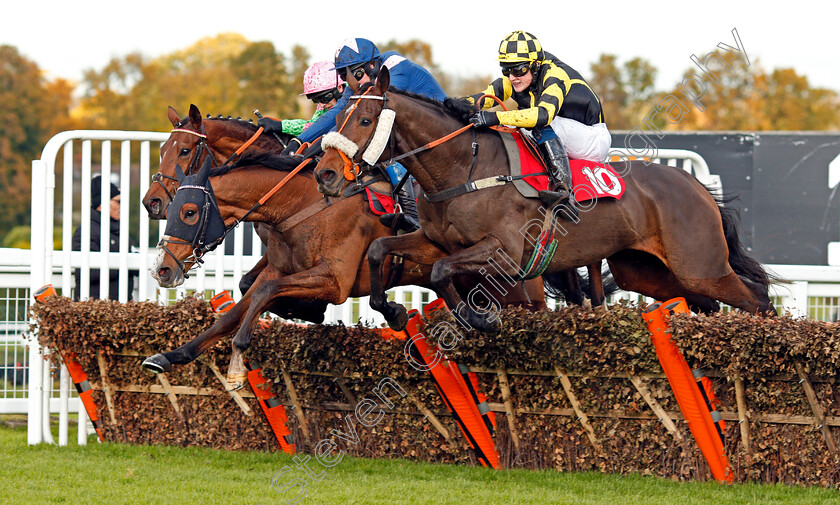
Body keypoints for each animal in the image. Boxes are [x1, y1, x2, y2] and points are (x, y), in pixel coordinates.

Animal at [310, 68, 776, 330]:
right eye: (339, 115)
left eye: (364, 119)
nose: (325, 174)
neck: (465, 168)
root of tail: (696, 187)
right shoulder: (435, 241)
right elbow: (379, 249)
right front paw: (391, 311)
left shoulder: (505, 252)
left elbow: (443, 274)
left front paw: (478, 318)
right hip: (648, 272)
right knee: (709, 306)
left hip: (702, 266)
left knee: (757, 300)